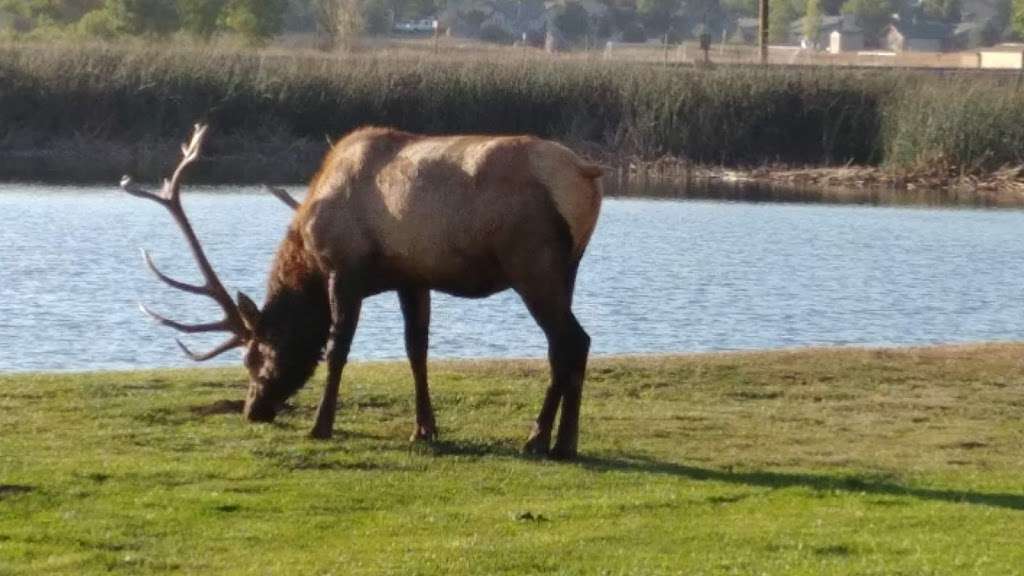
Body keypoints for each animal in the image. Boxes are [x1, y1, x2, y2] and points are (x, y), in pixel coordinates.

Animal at [125, 124, 606, 457]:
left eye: (256, 356)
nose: (253, 410)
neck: (309, 253)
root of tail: (586, 176)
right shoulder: (412, 277)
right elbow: (416, 350)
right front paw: (424, 428)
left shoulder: (345, 269)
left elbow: (337, 349)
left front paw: (321, 426)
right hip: (568, 269)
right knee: (568, 346)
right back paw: (558, 440)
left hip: (532, 265)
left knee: (571, 341)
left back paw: (545, 440)